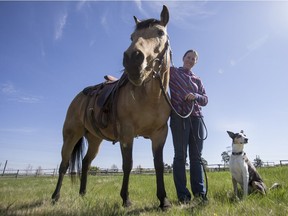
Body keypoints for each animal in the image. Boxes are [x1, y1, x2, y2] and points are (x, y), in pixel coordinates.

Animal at [51, 5, 171, 211]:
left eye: (160, 32)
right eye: (131, 37)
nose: (132, 59)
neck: (150, 97)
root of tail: (78, 96)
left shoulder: (160, 134)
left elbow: (159, 165)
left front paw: (163, 201)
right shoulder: (127, 133)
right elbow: (128, 164)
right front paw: (126, 199)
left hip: (94, 139)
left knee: (85, 163)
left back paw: (83, 194)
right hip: (71, 135)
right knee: (64, 165)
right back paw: (55, 197)